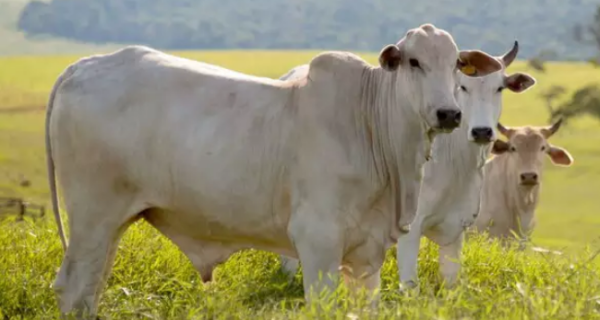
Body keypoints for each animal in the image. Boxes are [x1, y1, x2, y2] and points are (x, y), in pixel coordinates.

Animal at [44, 23, 502, 318]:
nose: (449, 114)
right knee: (73, 288)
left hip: (110, 225)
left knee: (90, 290)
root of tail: (83, 66)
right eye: (414, 62)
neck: (373, 127)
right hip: (92, 217)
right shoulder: (318, 244)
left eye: (456, 65)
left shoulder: (367, 257)